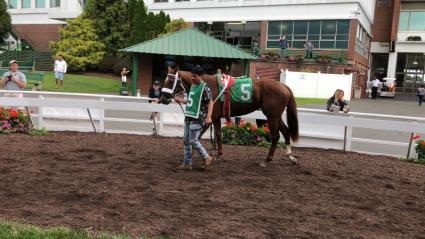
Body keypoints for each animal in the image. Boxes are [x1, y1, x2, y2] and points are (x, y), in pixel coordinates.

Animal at [159, 65, 298, 166]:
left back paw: (267, 160)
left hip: (272, 116)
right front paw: (219, 155)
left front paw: (194, 153)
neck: (208, 85)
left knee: (275, 136)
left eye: (170, 81)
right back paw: (290, 157)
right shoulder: (216, 118)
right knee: (286, 131)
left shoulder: (209, 118)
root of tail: (283, 86)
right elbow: (219, 135)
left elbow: (198, 136)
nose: (163, 99)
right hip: (276, 116)